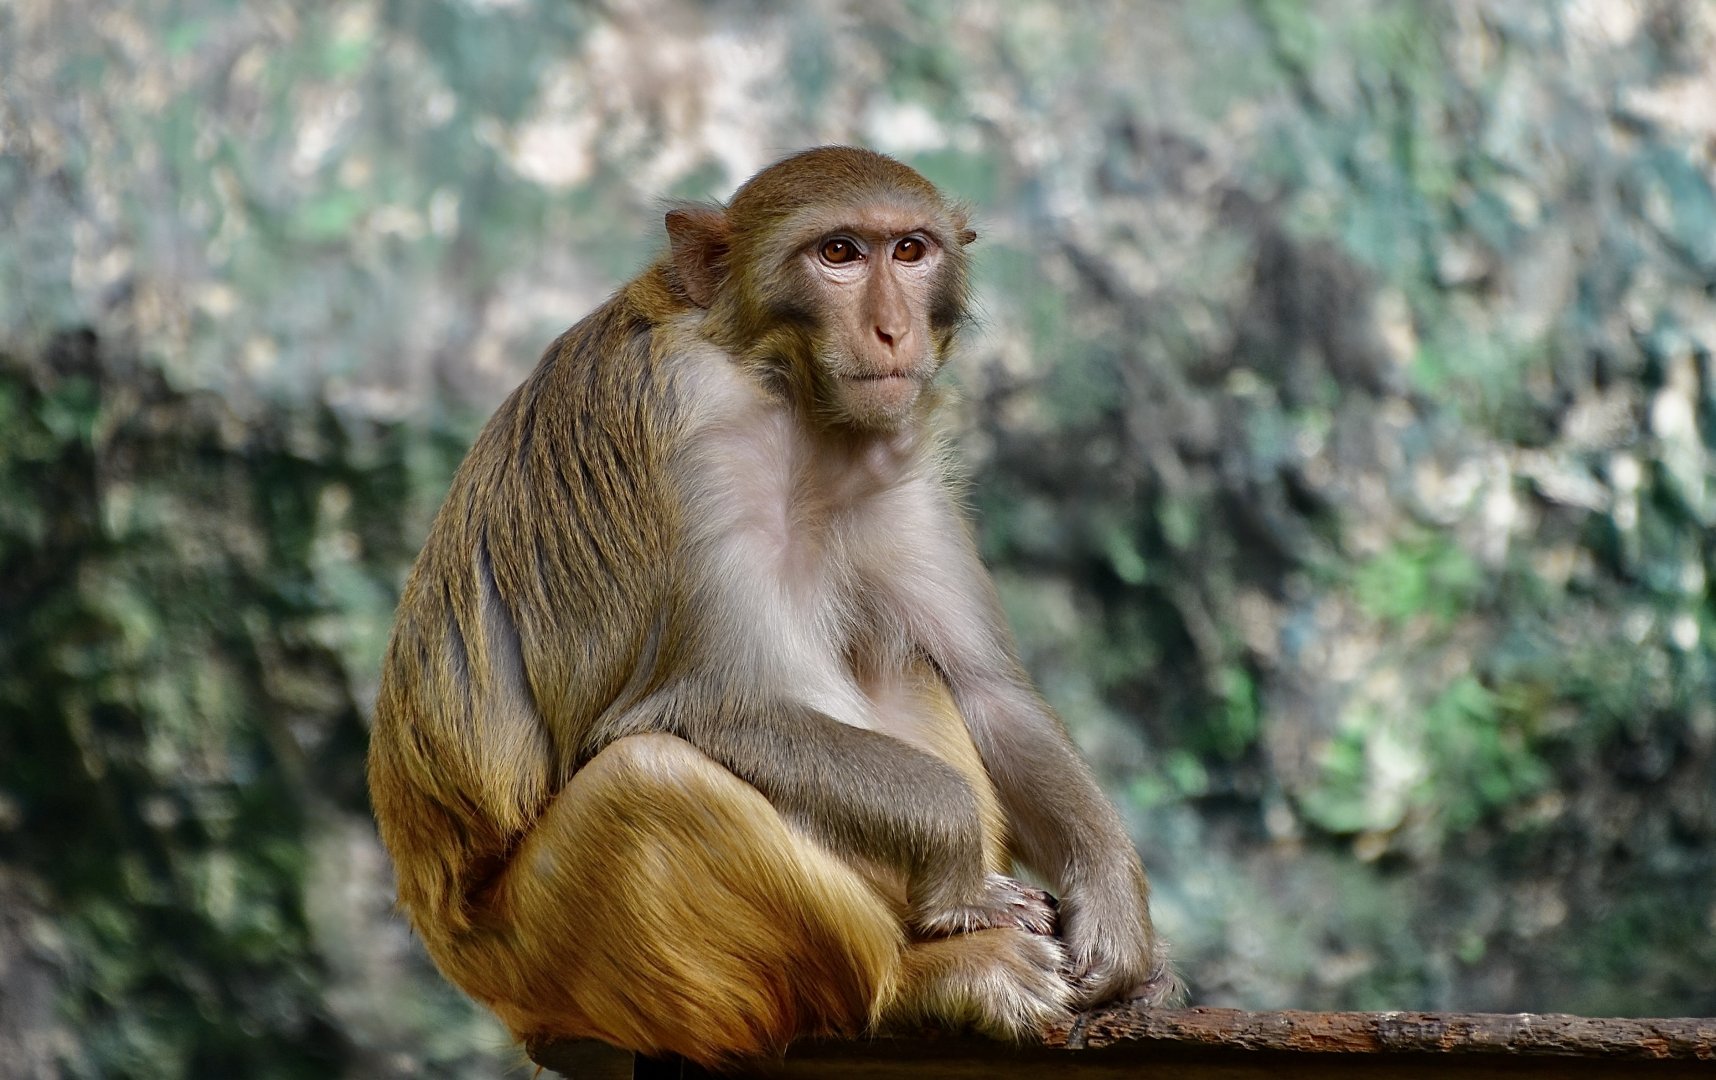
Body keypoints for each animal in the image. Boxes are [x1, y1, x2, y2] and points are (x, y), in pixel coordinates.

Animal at [367, 146, 1179, 1069]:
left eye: (909, 250)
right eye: (838, 253)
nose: (892, 331)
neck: (795, 402)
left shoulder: (896, 466)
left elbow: (988, 692)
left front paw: (1115, 911)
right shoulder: (690, 433)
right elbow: (711, 704)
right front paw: (964, 871)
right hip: (542, 958)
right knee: (651, 781)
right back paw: (921, 980)